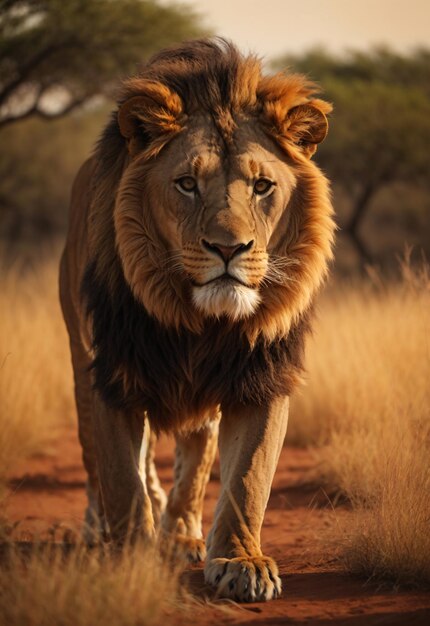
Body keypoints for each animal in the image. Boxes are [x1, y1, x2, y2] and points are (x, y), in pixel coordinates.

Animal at [59, 37, 336, 600]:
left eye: (262, 186)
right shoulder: (112, 374)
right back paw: (99, 528)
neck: (199, 322)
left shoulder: (261, 377)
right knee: (96, 458)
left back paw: (183, 534)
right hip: (79, 358)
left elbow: (247, 479)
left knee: (196, 456)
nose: (229, 249)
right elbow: (122, 477)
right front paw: (128, 559)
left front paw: (241, 561)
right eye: (187, 183)